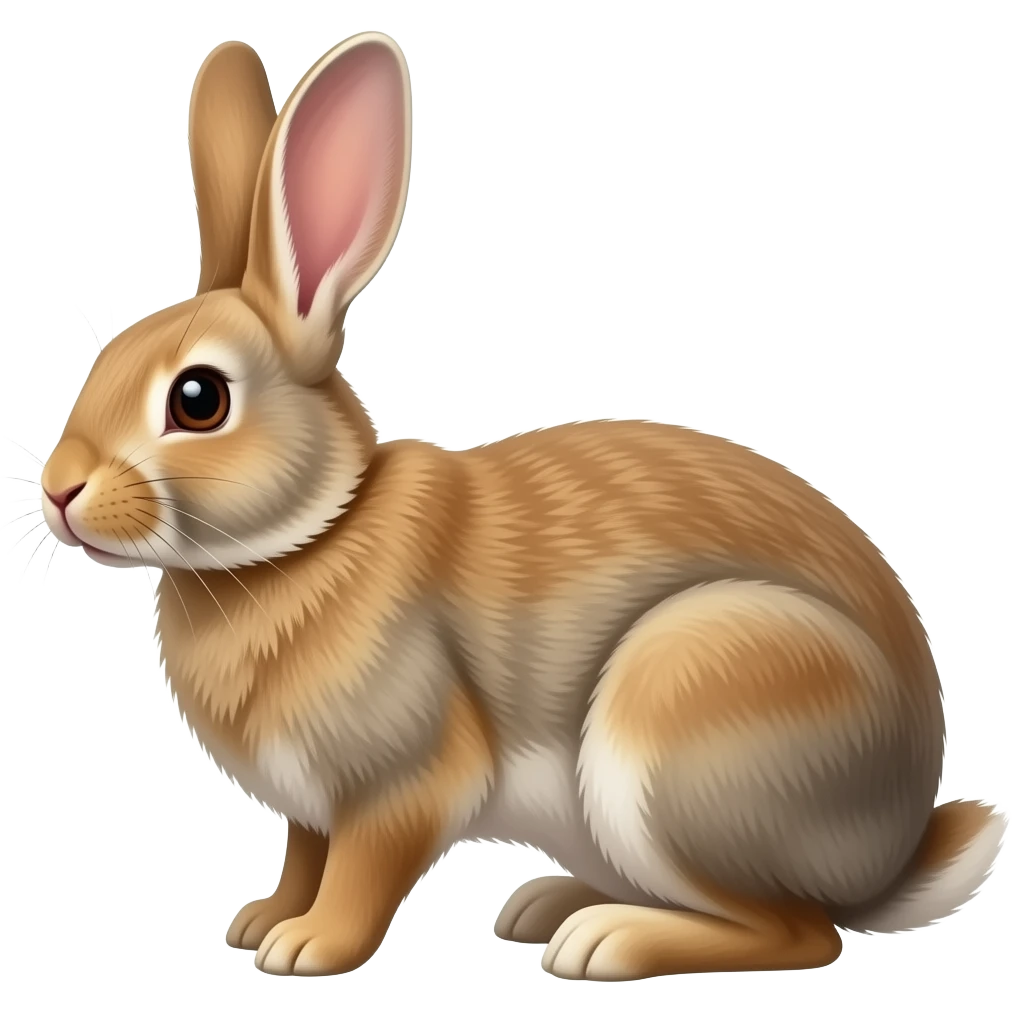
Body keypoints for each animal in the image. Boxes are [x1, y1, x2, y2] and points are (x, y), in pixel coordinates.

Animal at [41, 33, 1006, 981]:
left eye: (198, 399)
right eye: (106, 357)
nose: (59, 491)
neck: (315, 533)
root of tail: (895, 851)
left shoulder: (403, 783)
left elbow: (362, 870)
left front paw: (309, 947)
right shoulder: (309, 810)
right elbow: (304, 857)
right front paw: (263, 920)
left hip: (685, 715)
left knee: (801, 933)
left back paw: (606, 942)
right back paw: (549, 906)